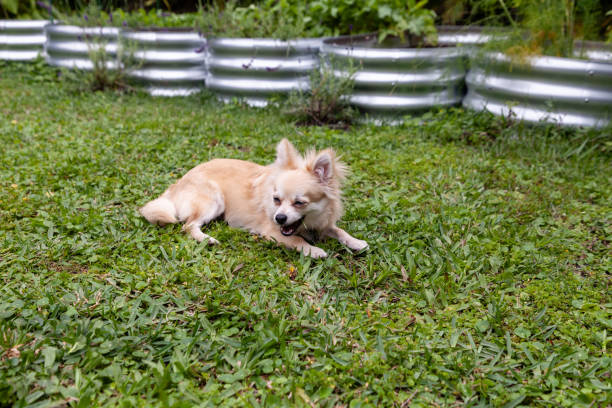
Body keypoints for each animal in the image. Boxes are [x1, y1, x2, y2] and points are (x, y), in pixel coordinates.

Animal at [139, 138, 368, 258]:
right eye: (276, 199)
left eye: (299, 203)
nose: (279, 218)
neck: (308, 224)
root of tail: (177, 184)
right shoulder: (272, 232)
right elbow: (296, 239)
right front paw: (314, 250)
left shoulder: (323, 224)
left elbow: (339, 230)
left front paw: (356, 242)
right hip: (214, 200)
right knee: (188, 225)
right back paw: (207, 239)